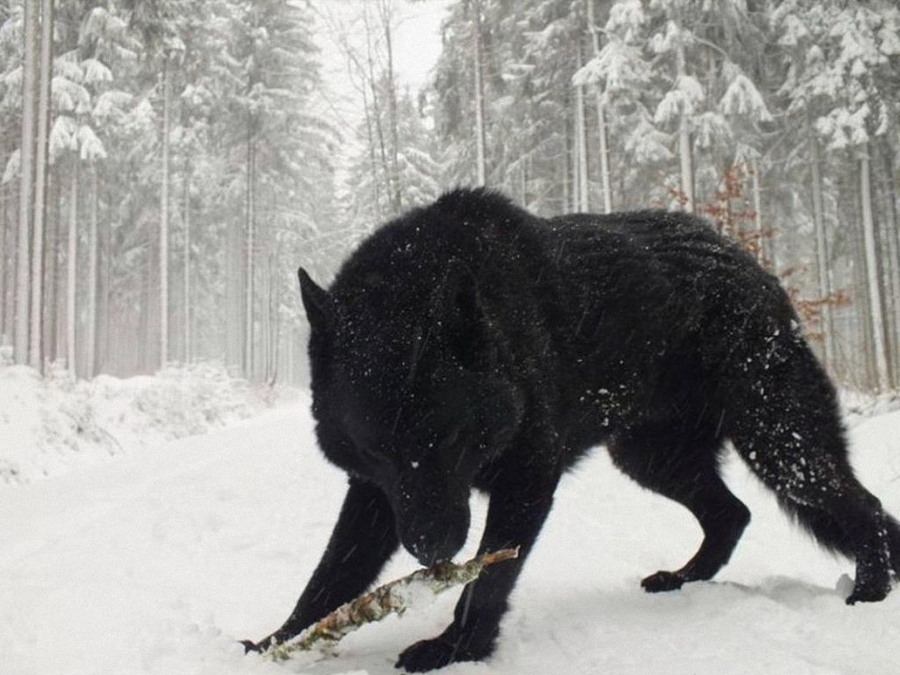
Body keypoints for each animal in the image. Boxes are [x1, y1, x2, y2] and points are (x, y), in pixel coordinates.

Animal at [244, 189, 899, 671]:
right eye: (376, 449)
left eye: (450, 439)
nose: (431, 551)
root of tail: (746, 260)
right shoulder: (378, 494)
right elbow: (330, 576)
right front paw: (277, 642)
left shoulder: (527, 480)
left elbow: (486, 581)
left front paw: (455, 650)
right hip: (652, 459)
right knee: (732, 515)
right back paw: (683, 579)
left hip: (781, 448)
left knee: (863, 506)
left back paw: (869, 591)